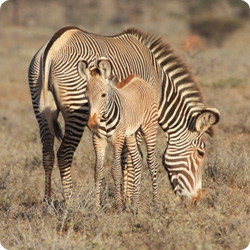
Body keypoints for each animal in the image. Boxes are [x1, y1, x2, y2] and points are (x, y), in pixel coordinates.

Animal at [78, 59, 158, 209]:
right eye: (86, 96)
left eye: (103, 95)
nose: (92, 124)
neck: (104, 118)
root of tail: (139, 79)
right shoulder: (98, 140)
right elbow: (98, 171)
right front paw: (96, 206)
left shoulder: (118, 138)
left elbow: (115, 170)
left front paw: (119, 205)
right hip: (131, 134)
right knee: (137, 160)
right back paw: (135, 203)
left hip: (149, 128)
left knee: (152, 162)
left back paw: (155, 202)